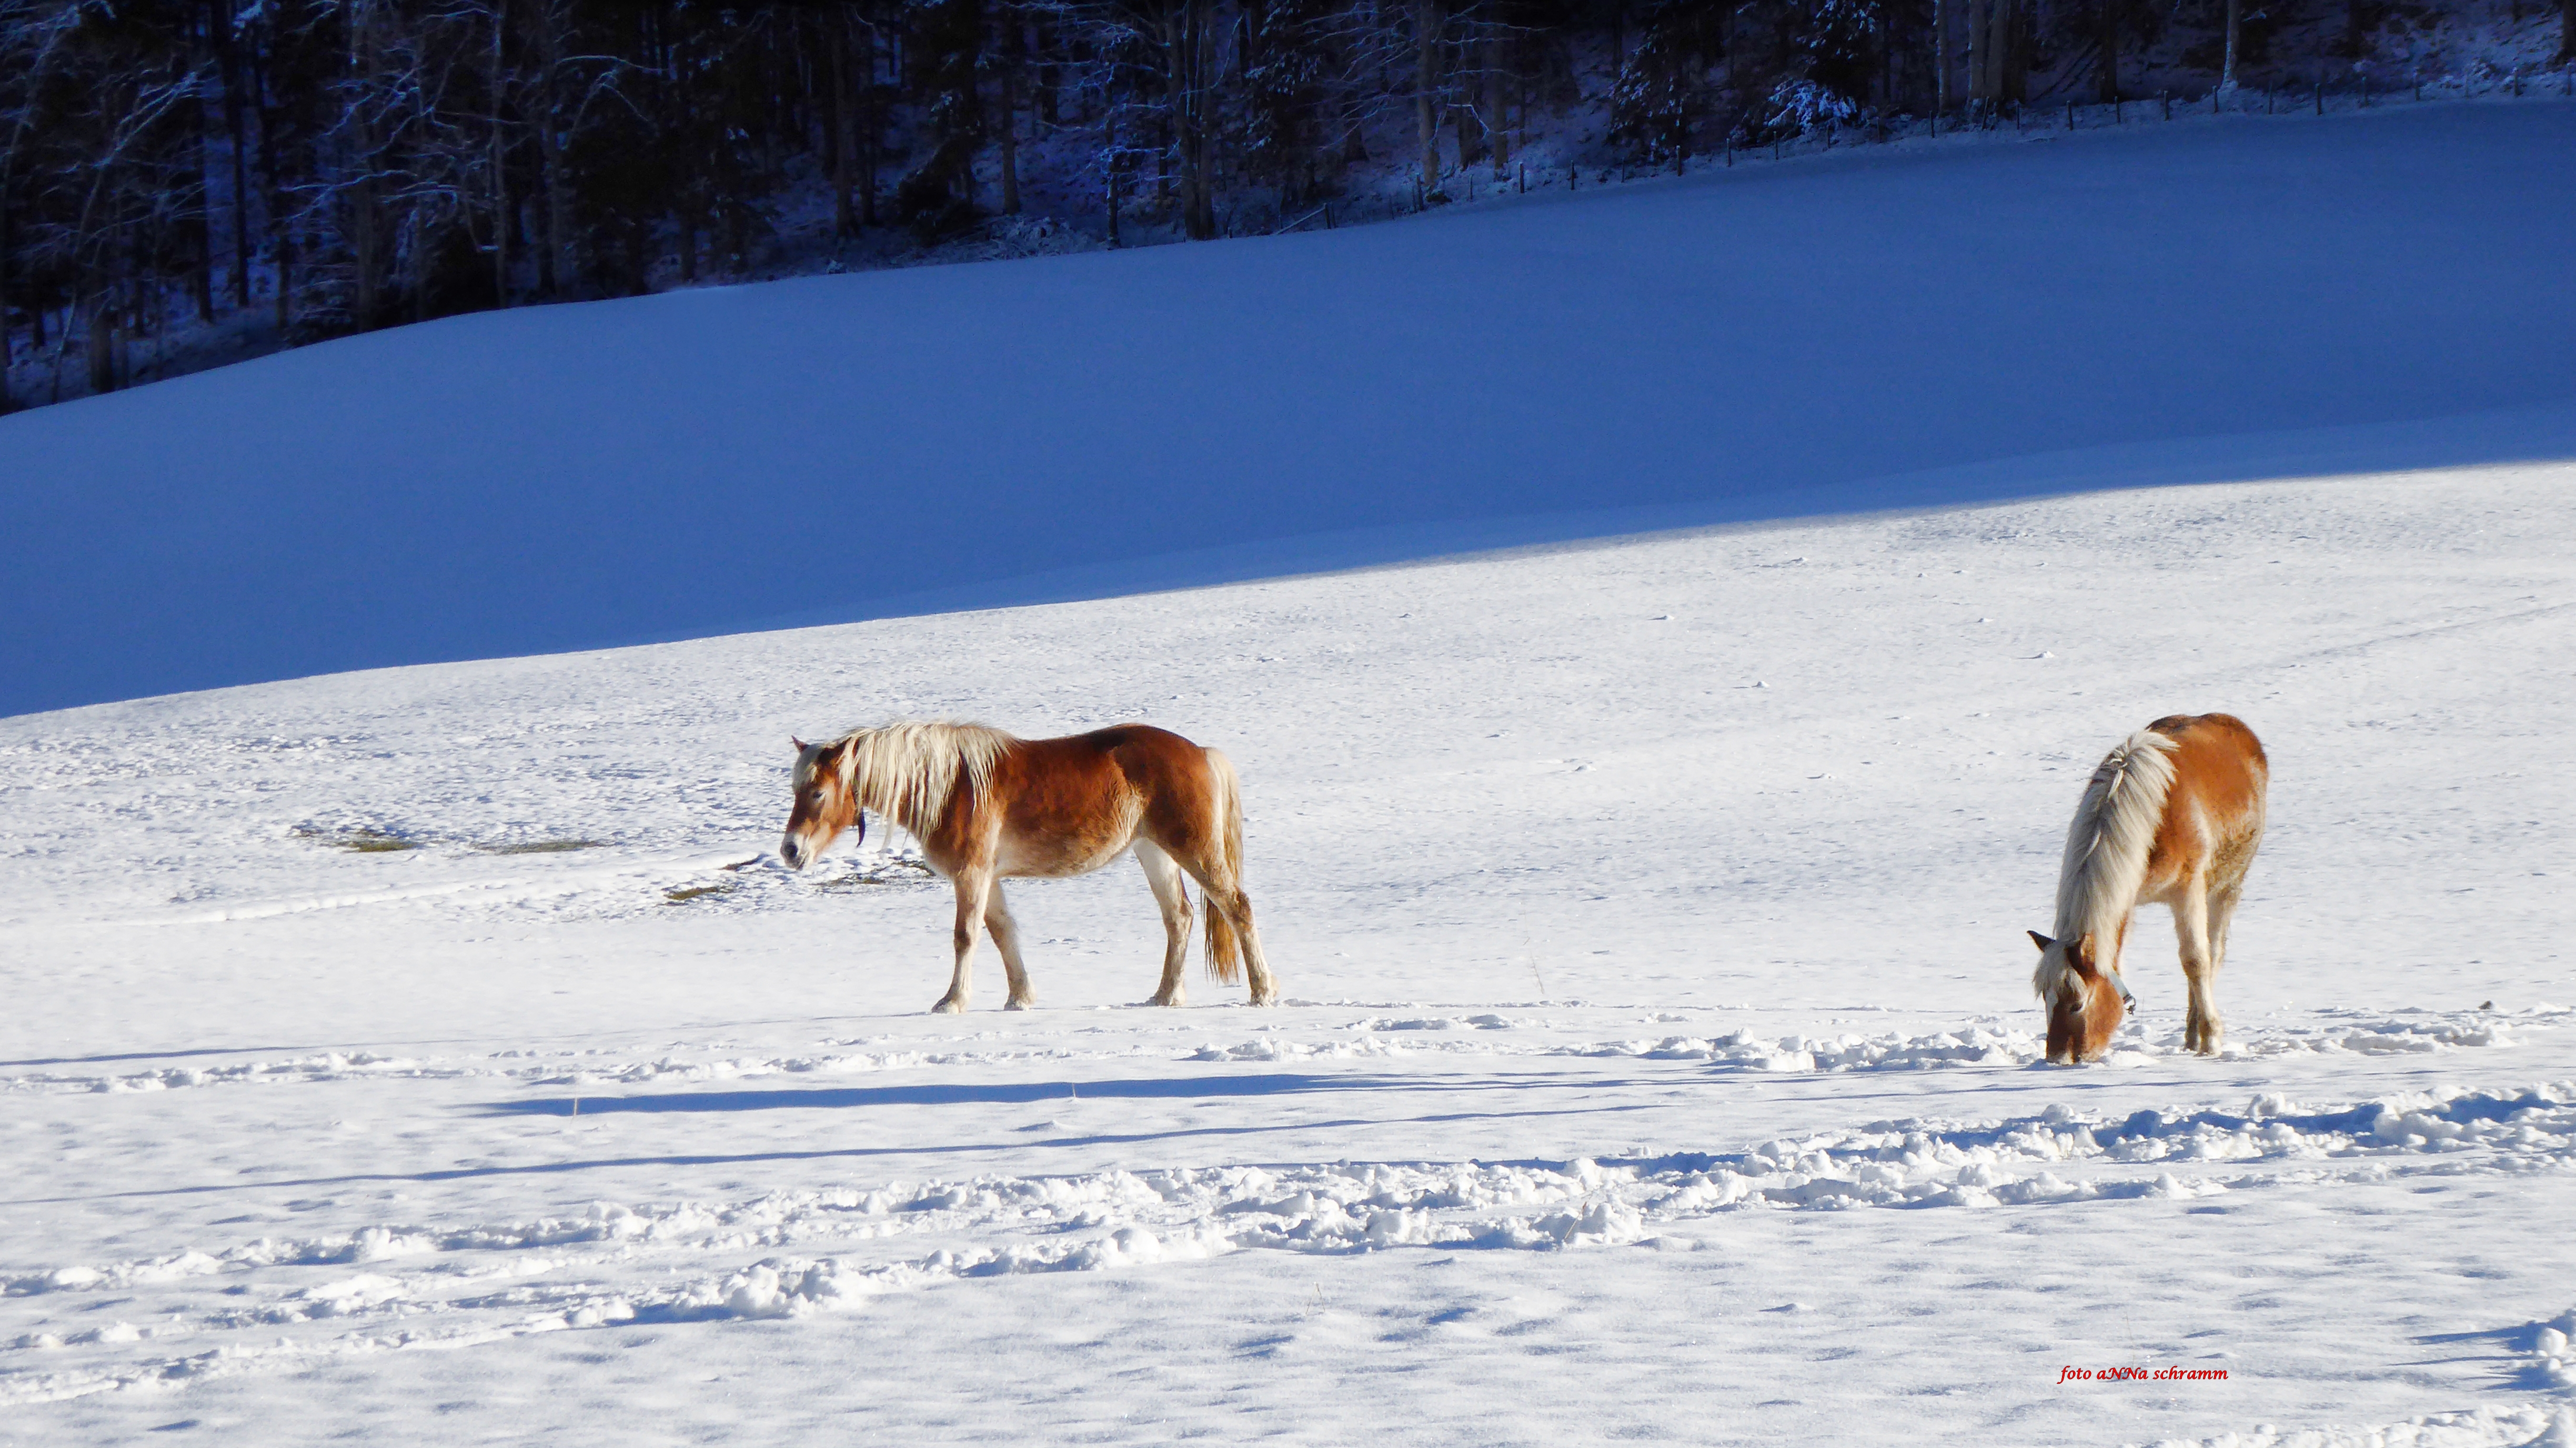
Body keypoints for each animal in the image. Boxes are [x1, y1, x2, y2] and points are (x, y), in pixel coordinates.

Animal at [772, 716, 1277, 1010]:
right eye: (797, 789)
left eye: (817, 792)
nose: (791, 851)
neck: (953, 785)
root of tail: (1201, 752)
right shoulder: (987, 878)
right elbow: (1001, 934)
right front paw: (1020, 998)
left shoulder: (972, 875)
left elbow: (965, 937)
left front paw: (952, 1001)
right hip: (1154, 852)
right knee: (1180, 918)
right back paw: (1166, 995)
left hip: (1192, 849)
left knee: (1238, 907)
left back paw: (1261, 992)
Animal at [2040, 711, 2267, 1061]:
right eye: (2046, 1002)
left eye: (2077, 1004)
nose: (2057, 1060)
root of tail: (2235, 725)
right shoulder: (2127, 898)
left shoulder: (2189, 891)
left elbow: (2196, 960)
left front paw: (2211, 1038)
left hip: (2227, 886)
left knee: (2212, 954)